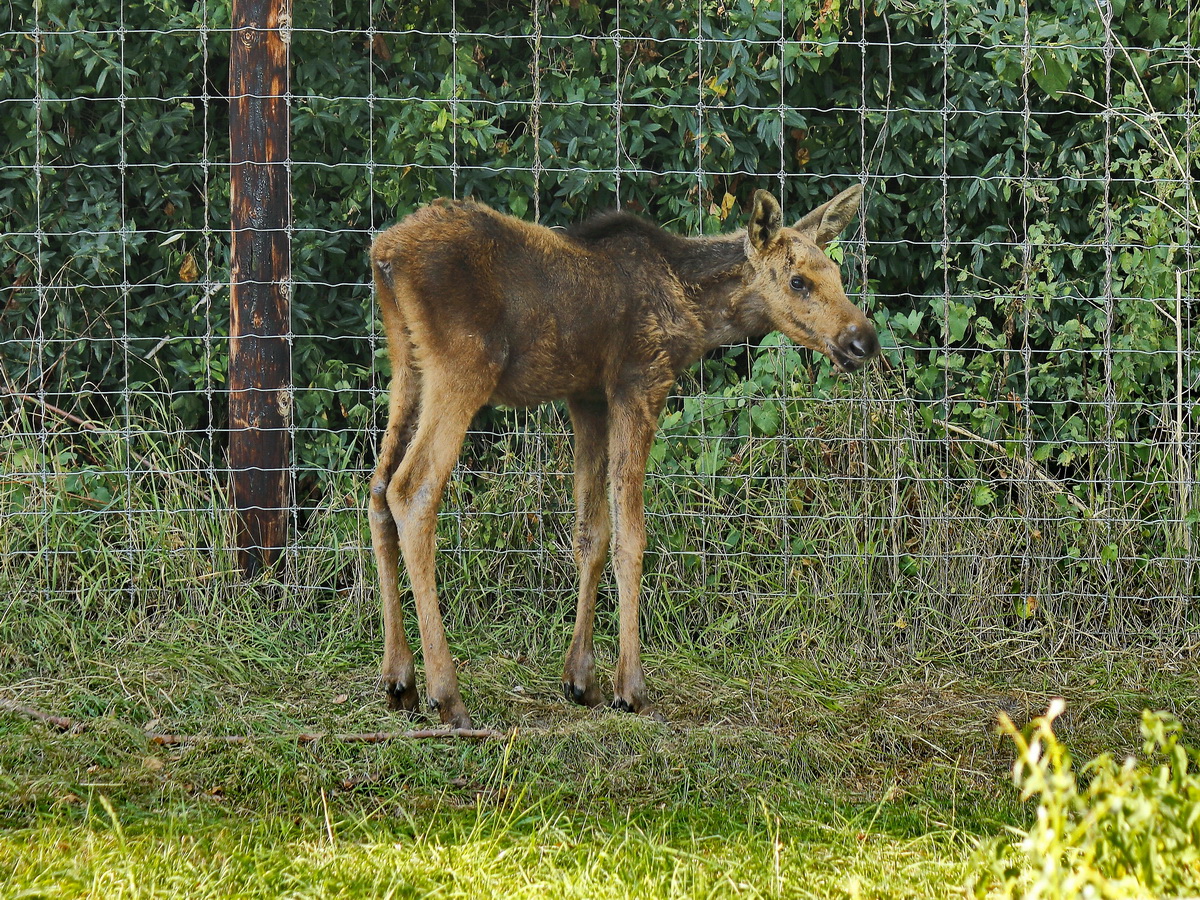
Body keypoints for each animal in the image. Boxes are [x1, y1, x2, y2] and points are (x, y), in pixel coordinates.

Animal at [367, 187, 883, 729]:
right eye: (798, 281)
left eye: (838, 274)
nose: (862, 340)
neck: (698, 312)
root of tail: (385, 254)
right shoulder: (639, 381)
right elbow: (630, 538)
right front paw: (630, 687)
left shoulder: (587, 397)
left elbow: (591, 534)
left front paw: (581, 680)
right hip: (462, 368)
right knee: (412, 490)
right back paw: (447, 695)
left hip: (407, 365)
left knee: (377, 489)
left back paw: (399, 680)